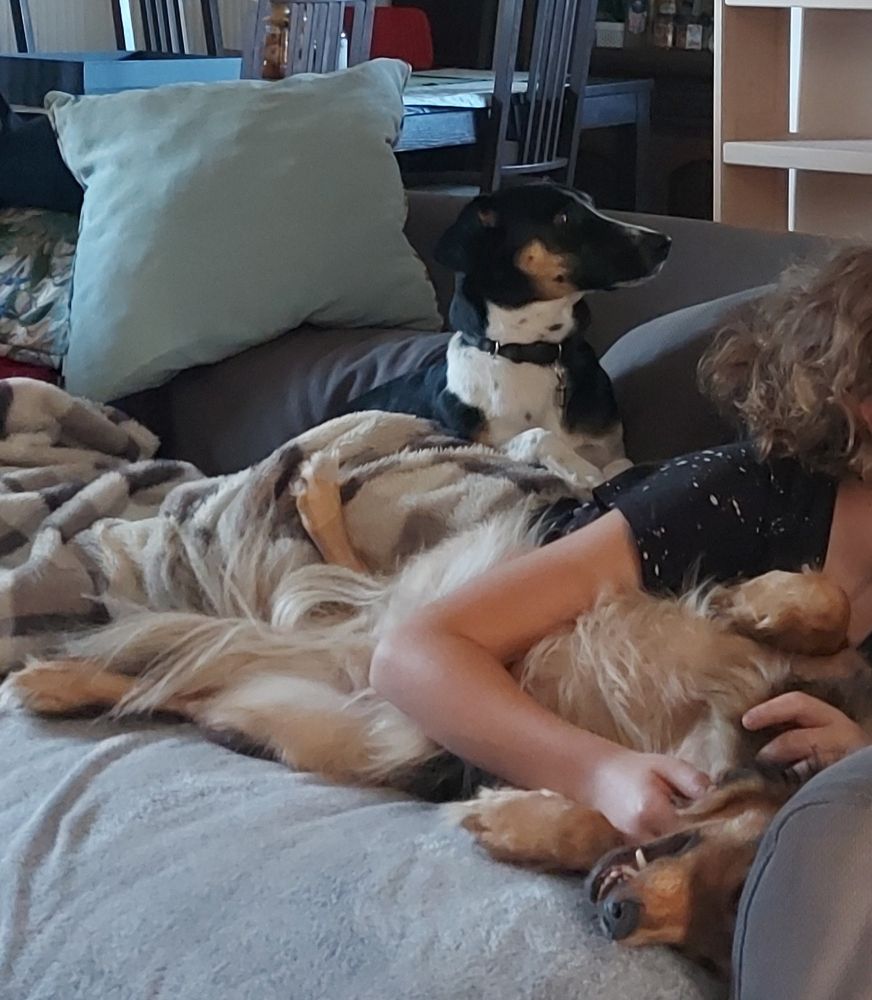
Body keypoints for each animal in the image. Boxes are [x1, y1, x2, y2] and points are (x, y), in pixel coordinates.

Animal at [6, 483, 871, 977]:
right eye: (731, 884)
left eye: (707, 947)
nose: (618, 920)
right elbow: (827, 612)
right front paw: (761, 602)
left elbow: (600, 819)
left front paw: (517, 822)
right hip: (418, 619)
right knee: (233, 649)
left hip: (334, 727)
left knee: (199, 688)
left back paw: (63, 684)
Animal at [349, 184, 671, 485]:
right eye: (564, 218)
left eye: (592, 204)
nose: (664, 242)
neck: (534, 353)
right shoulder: (484, 442)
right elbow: (539, 435)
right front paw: (585, 474)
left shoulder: (611, 449)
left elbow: (621, 465)